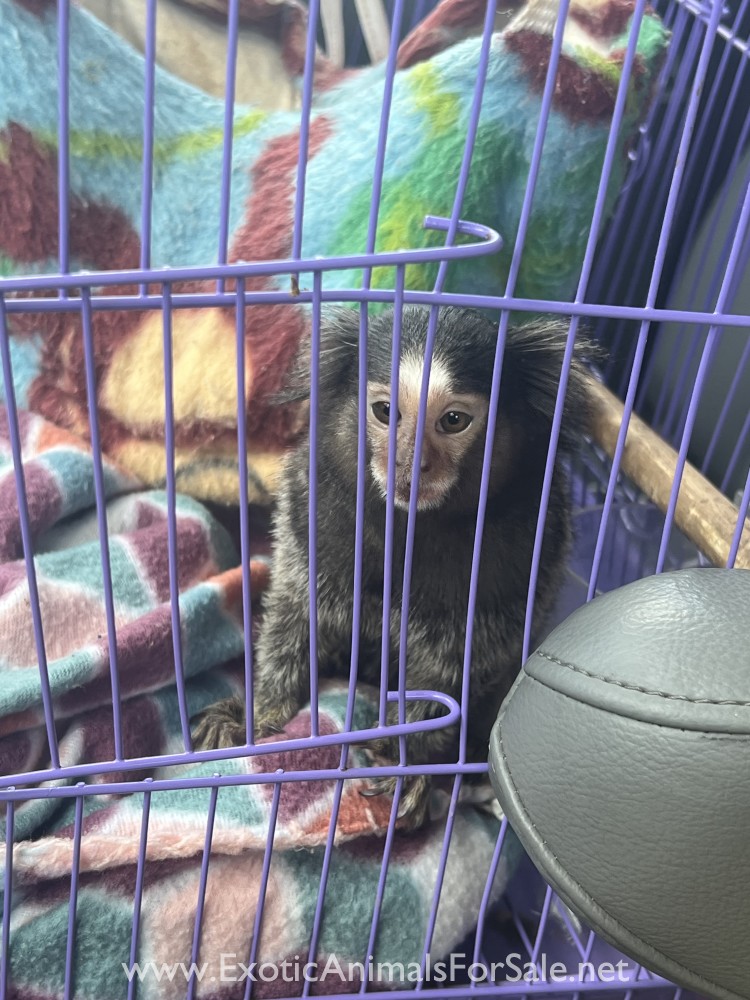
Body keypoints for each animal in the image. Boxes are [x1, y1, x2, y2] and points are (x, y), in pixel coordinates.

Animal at [192, 305, 595, 829]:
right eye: (386, 412)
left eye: (453, 420)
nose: (409, 462)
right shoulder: (310, 520)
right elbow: (295, 618)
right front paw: (256, 712)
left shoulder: (519, 560)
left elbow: (449, 675)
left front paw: (409, 762)